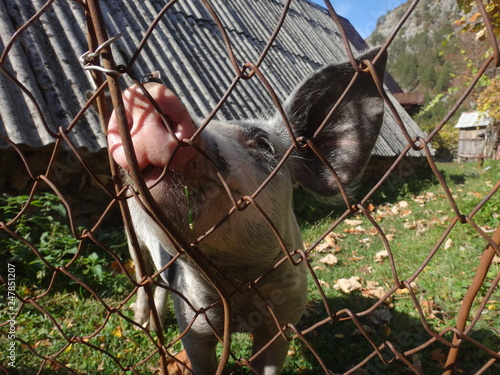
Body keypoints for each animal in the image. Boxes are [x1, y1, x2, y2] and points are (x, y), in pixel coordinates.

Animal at [106, 47, 386, 375]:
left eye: (264, 143)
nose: (146, 90)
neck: (239, 289)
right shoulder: (193, 321)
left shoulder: (284, 319)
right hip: (134, 236)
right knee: (146, 275)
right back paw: (143, 324)